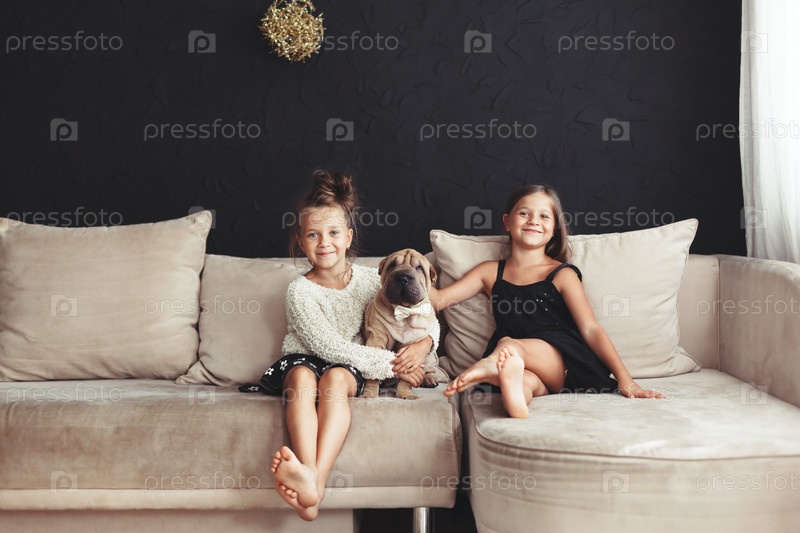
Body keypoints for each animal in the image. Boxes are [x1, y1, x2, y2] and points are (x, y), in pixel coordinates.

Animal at [363, 249, 440, 399]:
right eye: (392, 265)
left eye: (419, 268)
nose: (402, 278)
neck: (404, 312)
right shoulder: (376, 340)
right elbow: (373, 373)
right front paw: (369, 393)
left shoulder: (413, 350)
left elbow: (406, 377)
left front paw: (405, 394)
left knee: (428, 369)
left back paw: (429, 379)